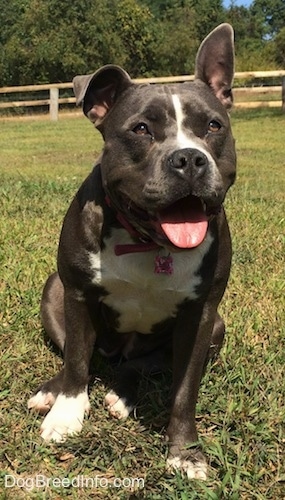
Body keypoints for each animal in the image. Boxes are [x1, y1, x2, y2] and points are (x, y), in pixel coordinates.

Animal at [27, 24, 235, 480]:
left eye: (213, 126)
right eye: (140, 129)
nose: (189, 158)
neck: (148, 239)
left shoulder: (201, 317)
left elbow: (184, 391)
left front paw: (185, 452)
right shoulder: (78, 294)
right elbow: (76, 362)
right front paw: (65, 416)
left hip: (216, 327)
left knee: (134, 366)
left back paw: (122, 396)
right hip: (54, 290)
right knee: (82, 356)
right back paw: (52, 392)